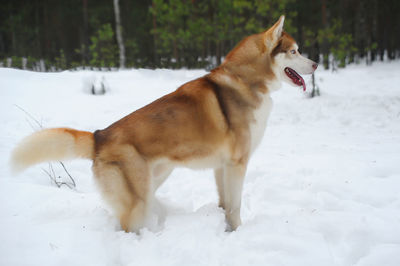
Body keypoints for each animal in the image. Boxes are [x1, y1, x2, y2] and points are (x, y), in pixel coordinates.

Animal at [10, 16, 318, 233]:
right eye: (294, 52)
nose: (315, 65)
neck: (245, 79)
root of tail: (99, 136)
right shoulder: (238, 164)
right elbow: (235, 206)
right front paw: (238, 233)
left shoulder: (221, 167)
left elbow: (224, 204)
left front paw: (225, 229)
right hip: (138, 197)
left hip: (155, 178)